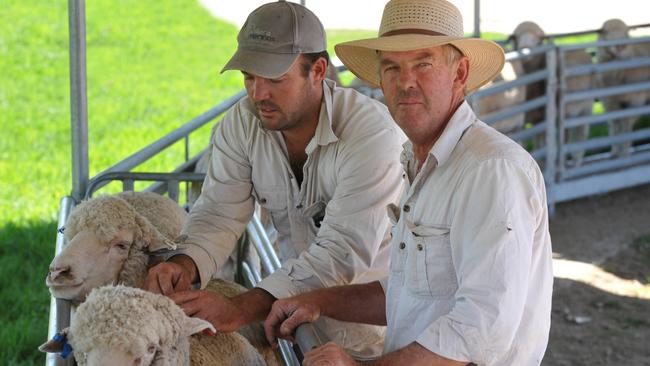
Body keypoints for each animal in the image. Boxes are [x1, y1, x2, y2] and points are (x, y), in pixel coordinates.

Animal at [596, 19, 648, 156]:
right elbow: (614, 123)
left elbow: (626, 123)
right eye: (605, 31)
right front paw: (615, 151)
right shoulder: (609, 101)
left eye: (627, 32)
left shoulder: (637, 100)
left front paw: (625, 151)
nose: (621, 46)